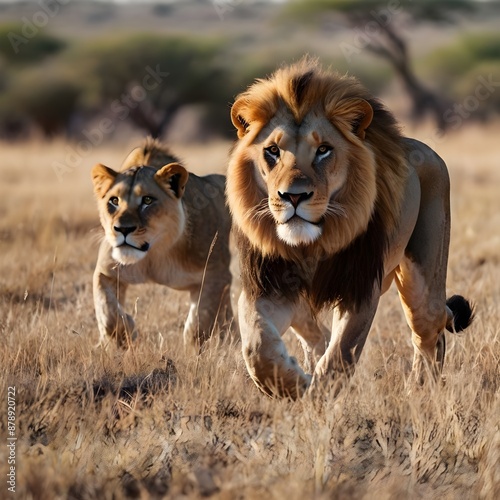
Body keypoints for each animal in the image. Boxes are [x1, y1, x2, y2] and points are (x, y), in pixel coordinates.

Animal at [92, 137, 232, 348]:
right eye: (114, 201)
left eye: (148, 200)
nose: (123, 229)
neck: (154, 254)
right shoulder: (105, 271)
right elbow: (108, 313)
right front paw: (126, 334)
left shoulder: (215, 276)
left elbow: (199, 322)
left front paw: (191, 351)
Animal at [227, 59, 472, 398]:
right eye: (273, 151)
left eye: (323, 150)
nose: (293, 196)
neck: (311, 246)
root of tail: (423, 148)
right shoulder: (266, 285)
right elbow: (257, 347)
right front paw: (294, 384)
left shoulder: (361, 288)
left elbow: (340, 355)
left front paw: (318, 396)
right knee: (316, 333)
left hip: (423, 284)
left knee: (430, 329)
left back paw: (421, 390)